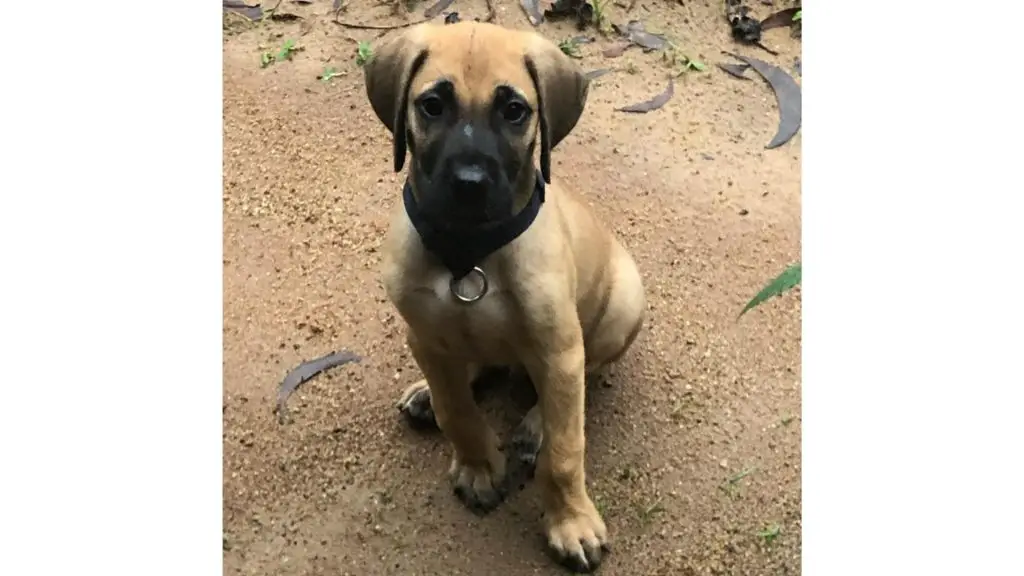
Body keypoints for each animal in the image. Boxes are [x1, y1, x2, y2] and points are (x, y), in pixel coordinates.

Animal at [364, 20, 643, 569]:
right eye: (432, 105)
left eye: (514, 110)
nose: (469, 183)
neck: (469, 251)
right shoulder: (422, 334)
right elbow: (458, 411)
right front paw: (478, 468)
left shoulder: (558, 349)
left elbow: (565, 452)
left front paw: (571, 523)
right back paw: (428, 393)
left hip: (625, 301)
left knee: (583, 376)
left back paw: (535, 426)